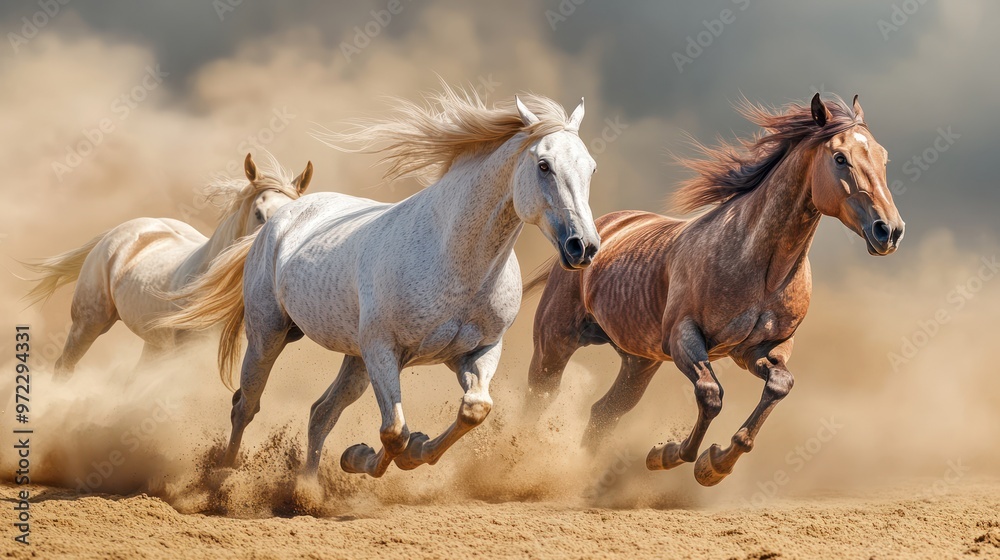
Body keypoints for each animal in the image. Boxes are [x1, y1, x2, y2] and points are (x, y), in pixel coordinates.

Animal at [154, 87, 600, 477]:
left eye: (591, 167)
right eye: (543, 165)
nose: (584, 246)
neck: (455, 261)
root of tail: (281, 217)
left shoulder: (478, 351)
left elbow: (472, 409)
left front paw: (398, 452)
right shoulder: (384, 351)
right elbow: (394, 432)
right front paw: (369, 455)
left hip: (354, 359)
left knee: (321, 413)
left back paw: (305, 490)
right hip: (270, 335)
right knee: (246, 405)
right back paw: (222, 479)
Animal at [523, 94, 904, 486]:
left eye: (883, 156)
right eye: (840, 158)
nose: (889, 230)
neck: (762, 268)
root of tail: (590, 235)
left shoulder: (761, 349)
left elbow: (779, 385)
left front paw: (718, 460)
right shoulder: (684, 338)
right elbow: (711, 395)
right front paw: (676, 457)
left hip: (638, 362)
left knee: (604, 412)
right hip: (555, 342)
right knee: (538, 399)